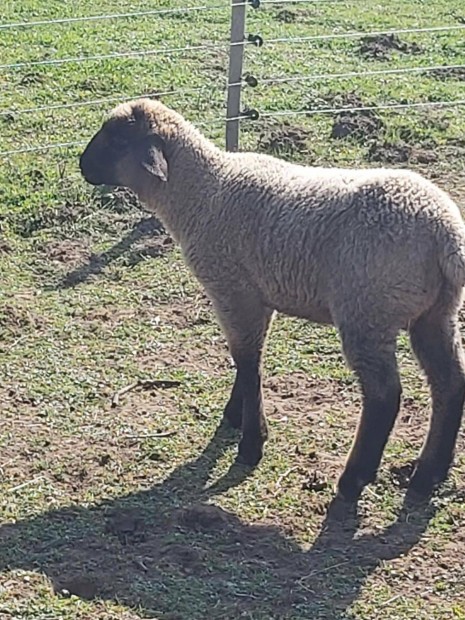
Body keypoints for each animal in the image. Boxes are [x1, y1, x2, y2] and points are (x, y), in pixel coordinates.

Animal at [79, 97, 465, 502]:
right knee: (450, 382)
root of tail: (446, 233)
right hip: (435, 313)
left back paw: (354, 478)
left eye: (118, 140)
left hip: (367, 311)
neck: (202, 192)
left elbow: (247, 362)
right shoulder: (257, 294)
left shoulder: (232, 289)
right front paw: (236, 415)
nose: (82, 165)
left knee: (384, 396)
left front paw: (251, 443)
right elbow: (249, 359)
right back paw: (429, 473)